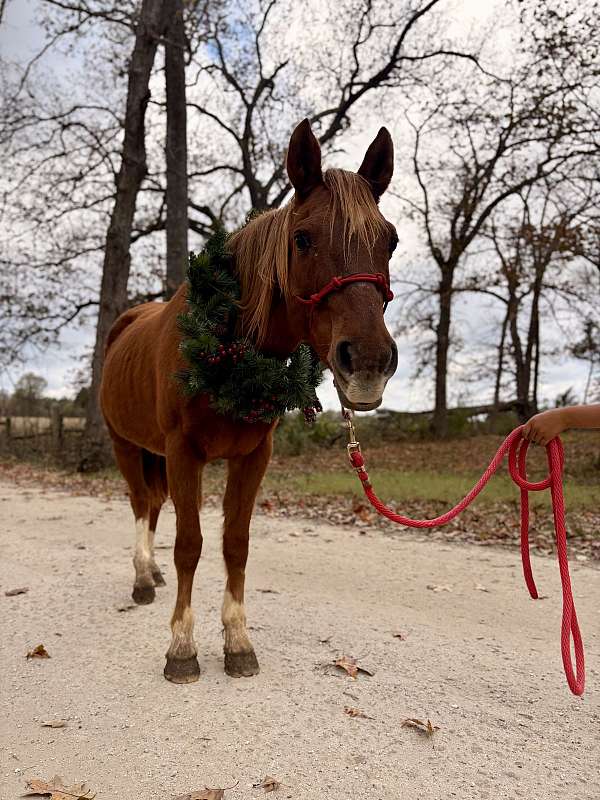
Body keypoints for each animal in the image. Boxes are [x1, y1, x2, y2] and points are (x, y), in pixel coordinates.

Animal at [100, 119, 398, 683]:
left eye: (390, 241)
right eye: (303, 239)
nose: (368, 361)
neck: (229, 346)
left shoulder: (254, 456)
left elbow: (234, 543)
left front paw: (238, 640)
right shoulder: (183, 453)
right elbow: (190, 545)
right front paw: (182, 648)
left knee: (152, 506)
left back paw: (151, 572)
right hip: (126, 445)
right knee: (140, 506)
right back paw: (142, 579)